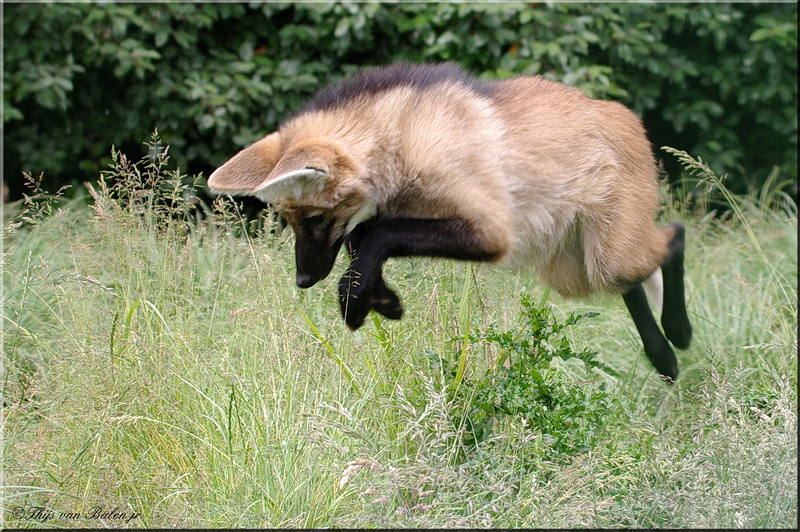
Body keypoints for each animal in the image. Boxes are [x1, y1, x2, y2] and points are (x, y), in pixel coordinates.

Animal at [208, 62, 692, 380]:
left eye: (314, 218)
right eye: (291, 222)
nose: (303, 280)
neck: (401, 142)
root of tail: (622, 113)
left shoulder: (491, 231)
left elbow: (378, 237)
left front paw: (357, 300)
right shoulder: (392, 215)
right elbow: (363, 242)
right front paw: (380, 299)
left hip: (600, 253)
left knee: (672, 238)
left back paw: (678, 334)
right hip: (571, 269)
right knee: (630, 279)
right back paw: (664, 357)